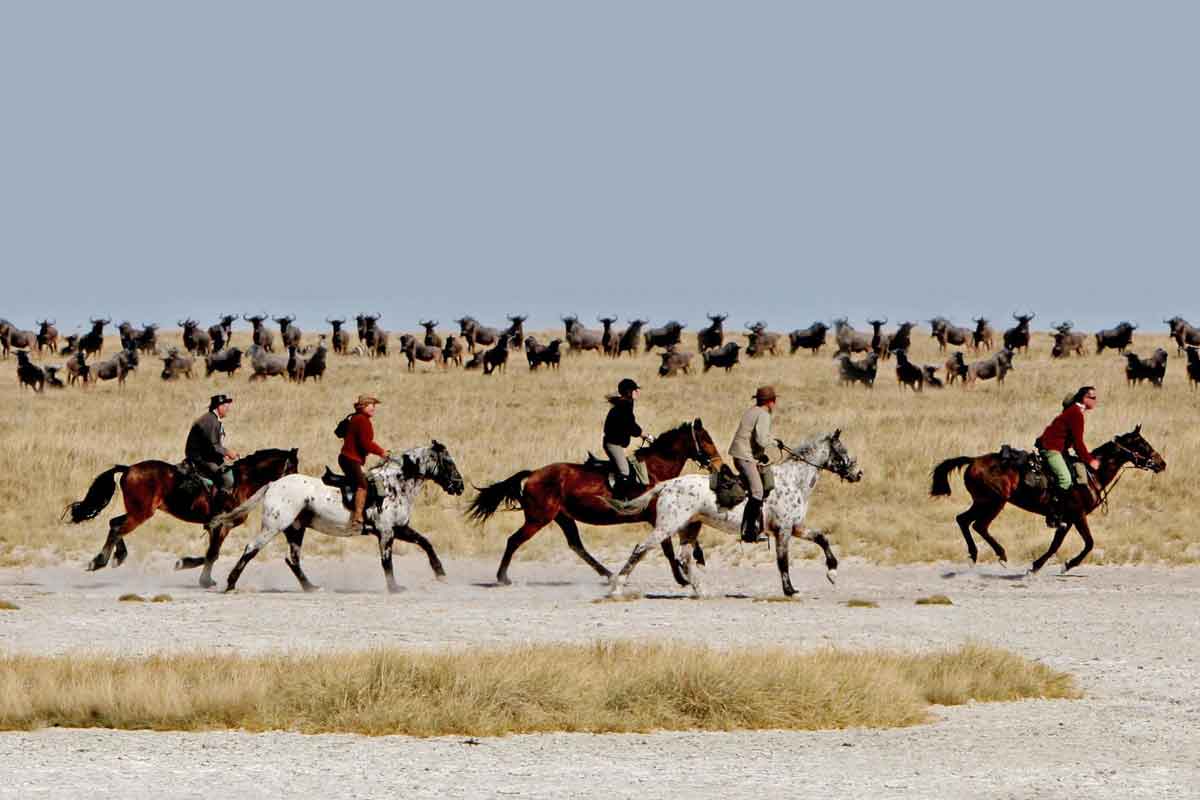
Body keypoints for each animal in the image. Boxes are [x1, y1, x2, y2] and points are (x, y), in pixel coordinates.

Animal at [63, 450, 302, 587]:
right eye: (292, 467)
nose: (294, 484)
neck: (243, 481)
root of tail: (129, 468)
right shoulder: (222, 526)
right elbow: (212, 554)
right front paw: (203, 579)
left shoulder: (215, 526)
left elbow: (210, 554)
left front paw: (186, 564)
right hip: (141, 514)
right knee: (117, 528)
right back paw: (100, 561)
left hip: (136, 512)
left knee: (114, 523)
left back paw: (117, 556)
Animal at [208, 443, 460, 594]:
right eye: (448, 462)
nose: (459, 486)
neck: (395, 485)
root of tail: (274, 484)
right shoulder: (387, 532)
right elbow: (387, 560)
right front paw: (394, 587)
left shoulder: (399, 529)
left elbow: (426, 543)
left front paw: (440, 573)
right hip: (274, 526)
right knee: (251, 549)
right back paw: (230, 584)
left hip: (295, 529)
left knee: (292, 559)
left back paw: (310, 587)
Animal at [609, 431, 864, 594]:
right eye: (842, 450)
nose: (858, 474)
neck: (793, 480)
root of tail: (667, 484)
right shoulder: (783, 530)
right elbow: (783, 561)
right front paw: (790, 590)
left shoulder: (796, 528)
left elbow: (822, 538)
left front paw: (832, 572)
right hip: (666, 527)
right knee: (641, 549)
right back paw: (617, 586)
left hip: (690, 527)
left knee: (684, 558)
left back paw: (701, 590)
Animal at [926, 424, 1161, 575]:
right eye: (1143, 444)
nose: (1161, 463)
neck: (1092, 473)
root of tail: (974, 460)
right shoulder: (1077, 515)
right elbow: (1088, 543)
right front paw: (1066, 565)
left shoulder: (1066, 519)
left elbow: (1055, 545)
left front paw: (1036, 566)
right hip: (993, 502)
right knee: (978, 525)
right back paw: (1001, 554)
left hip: (982, 502)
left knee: (963, 520)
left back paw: (974, 555)